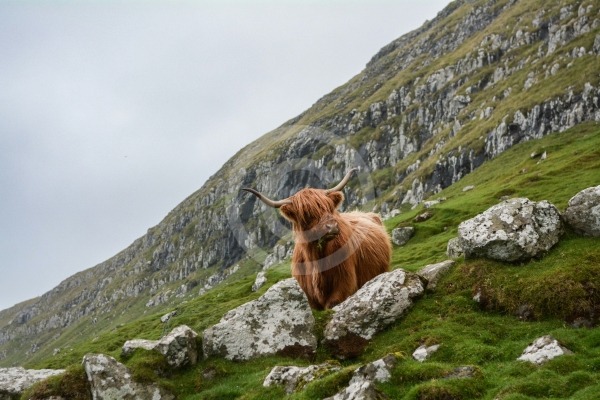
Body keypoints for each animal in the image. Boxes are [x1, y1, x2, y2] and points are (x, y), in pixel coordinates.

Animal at [241, 169, 392, 310]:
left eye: (329, 207)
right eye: (307, 214)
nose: (332, 227)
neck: (316, 261)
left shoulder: (344, 285)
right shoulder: (309, 296)